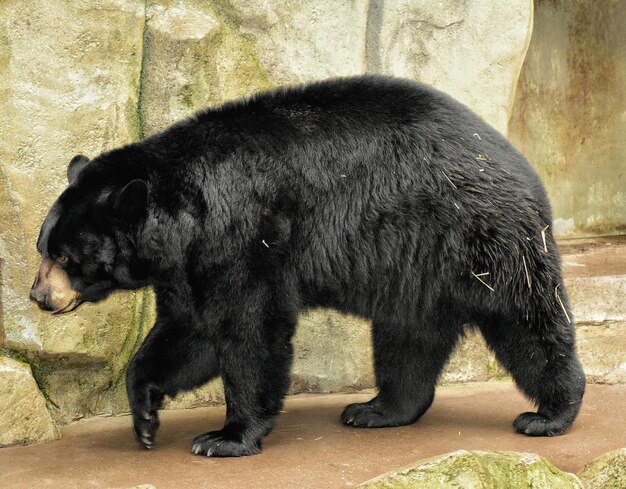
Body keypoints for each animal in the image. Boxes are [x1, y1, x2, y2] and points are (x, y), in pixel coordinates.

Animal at [30, 74, 584, 456]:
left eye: (64, 255)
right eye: (43, 246)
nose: (39, 296)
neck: (186, 214)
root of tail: (521, 165)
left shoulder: (244, 236)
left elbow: (248, 330)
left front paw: (225, 437)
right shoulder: (190, 264)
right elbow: (190, 330)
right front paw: (145, 416)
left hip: (481, 238)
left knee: (527, 322)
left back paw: (551, 412)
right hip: (416, 268)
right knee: (408, 338)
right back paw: (377, 409)